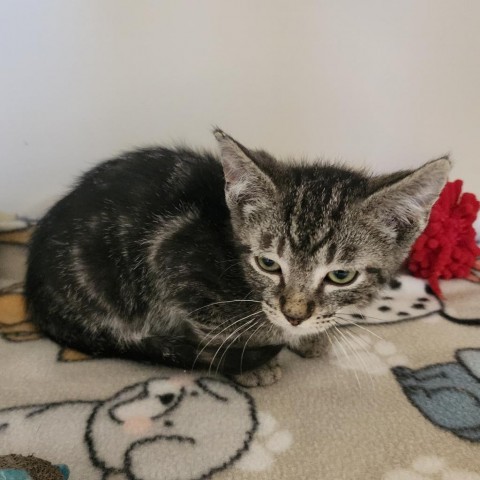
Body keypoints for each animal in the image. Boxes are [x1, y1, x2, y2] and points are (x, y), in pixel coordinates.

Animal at [26, 130, 450, 386]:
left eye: (341, 276)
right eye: (268, 264)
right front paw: (250, 364)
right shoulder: (174, 261)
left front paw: (307, 336)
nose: (295, 315)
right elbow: (215, 332)